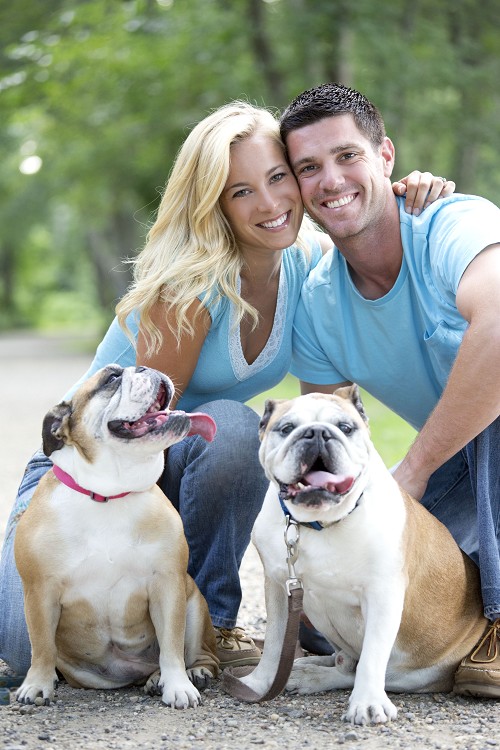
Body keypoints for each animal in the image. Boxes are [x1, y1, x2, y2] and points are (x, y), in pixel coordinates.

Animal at [15, 364, 219, 709]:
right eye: (111, 378)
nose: (145, 367)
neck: (108, 494)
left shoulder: (168, 584)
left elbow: (172, 644)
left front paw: (178, 685)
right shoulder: (40, 591)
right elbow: (41, 645)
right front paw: (37, 684)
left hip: (194, 601)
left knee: (200, 652)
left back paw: (191, 673)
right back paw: (152, 679)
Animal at [235, 387, 486, 724]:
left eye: (346, 427)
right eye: (286, 428)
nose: (317, 433)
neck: (319, 523)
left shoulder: (383, 596)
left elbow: (371, 657)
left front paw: (367, 703)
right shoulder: (278, 587)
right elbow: (275, 645)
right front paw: (259, 683)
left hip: (416, 672)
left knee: (356, 671)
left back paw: (312, 677)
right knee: (342, 661)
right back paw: (308, 666)